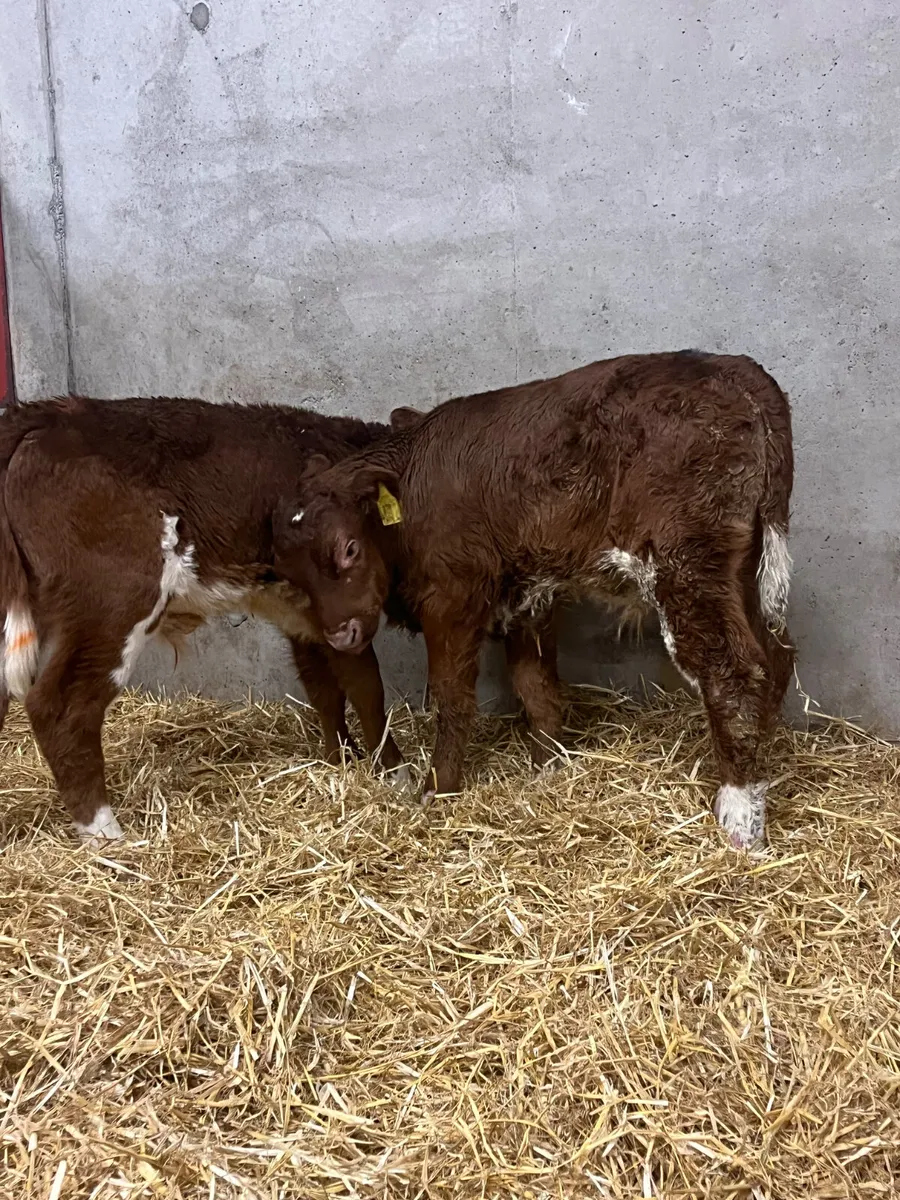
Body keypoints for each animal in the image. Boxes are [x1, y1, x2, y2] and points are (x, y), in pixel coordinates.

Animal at [0, 395, 410, 844]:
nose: (344, 632)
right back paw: (106, 833)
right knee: (62, 707)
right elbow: (367, 688)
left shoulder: (306, 617)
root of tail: (43, 414)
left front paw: (341, 762)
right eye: (348, 549)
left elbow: (325, 690)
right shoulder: (339, 616)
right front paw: (397, 774)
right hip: (113, 601)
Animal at [273, 350, 795, 850]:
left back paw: (740, 818)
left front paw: (437, 788)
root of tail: (731, 365)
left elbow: (451, 693)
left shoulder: (453, 592)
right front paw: (549, 767)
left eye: (349, 549)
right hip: (744, 567)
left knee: (733, 673)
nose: (341, 635)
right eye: (287, 572)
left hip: (687, 564)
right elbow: (535, 685)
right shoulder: (530, 591)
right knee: (777, 654)